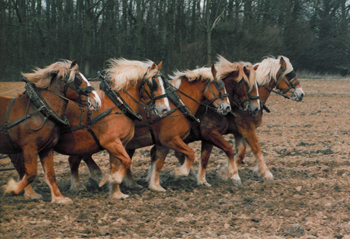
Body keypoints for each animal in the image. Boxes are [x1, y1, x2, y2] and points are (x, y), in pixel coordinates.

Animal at [1, 59, 101, 204]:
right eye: (77, 79)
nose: (97, 101)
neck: (40, 110)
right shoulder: (29, 147)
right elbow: (31, 174)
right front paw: (11, 188)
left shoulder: (47, 148)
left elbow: (50, 174)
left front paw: (59, 198)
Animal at [13, 58, 172, 200]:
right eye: (153, 83)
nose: (165, 109)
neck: (117, 106)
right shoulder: (111, 142)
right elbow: (126, 161)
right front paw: (113, 179)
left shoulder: (119, 143)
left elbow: (116, 165)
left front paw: (116, 193)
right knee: (23, 168)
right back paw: (28, 192)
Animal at [178, 55, 304, 185]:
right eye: (289, 75)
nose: (301, 94)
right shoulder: (246, 128)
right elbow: (256, 149)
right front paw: (266, 173)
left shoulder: (239, 132)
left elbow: (241, 153)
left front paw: (225, 172)